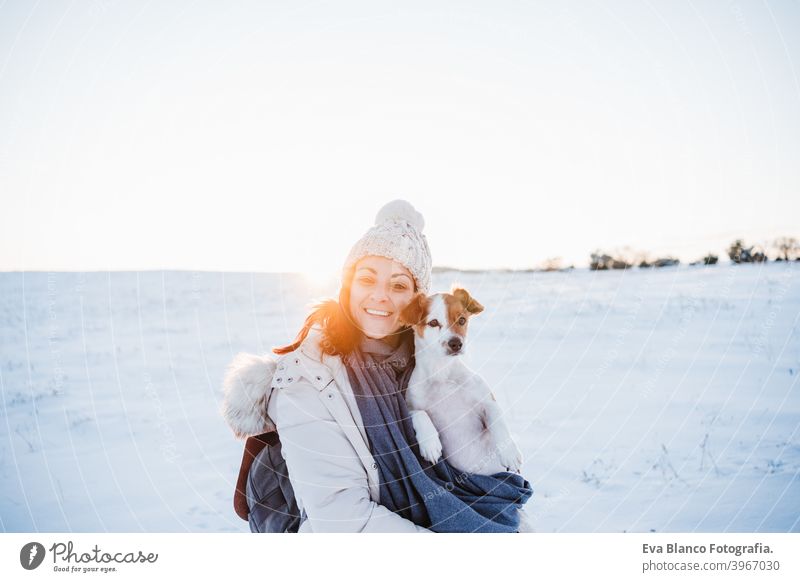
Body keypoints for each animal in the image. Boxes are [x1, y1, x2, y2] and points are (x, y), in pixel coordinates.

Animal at [398, 286, 524, 476]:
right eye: (433, 323)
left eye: (462, 320)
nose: (456, 343)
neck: (442, 372)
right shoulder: (410, 406)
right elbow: (419, 414)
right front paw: (430, 443)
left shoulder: (487, 401)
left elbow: (499, 422)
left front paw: (510, 453)